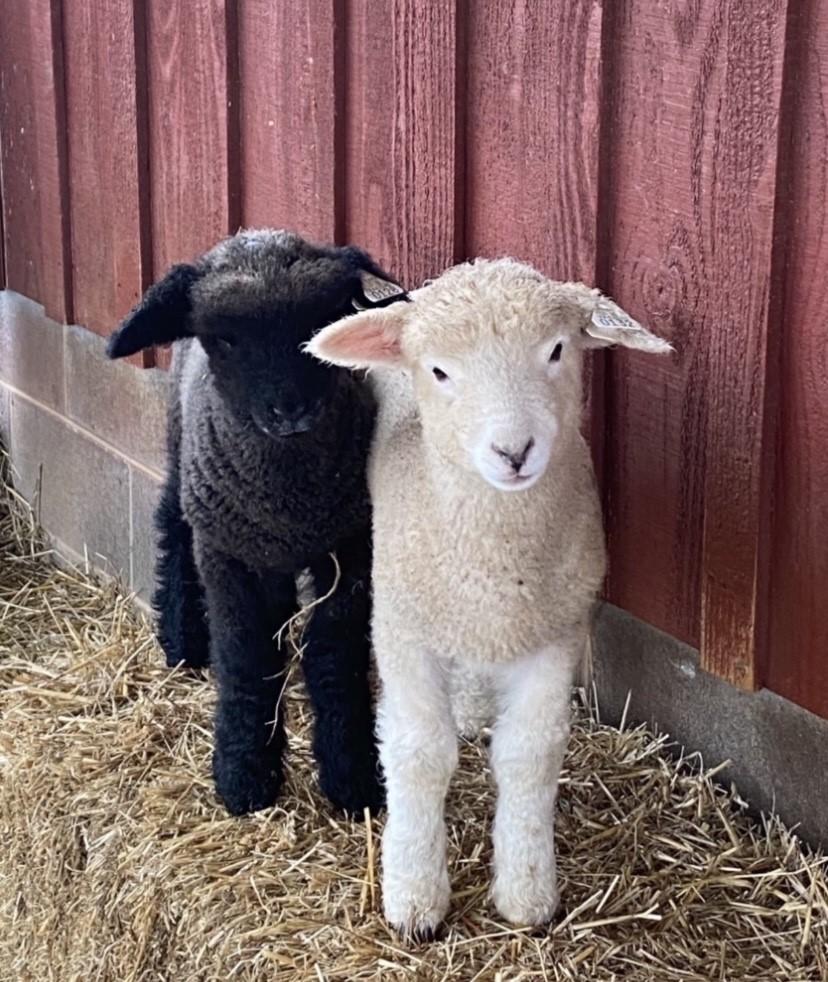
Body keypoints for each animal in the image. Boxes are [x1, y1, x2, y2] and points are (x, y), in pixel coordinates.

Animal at [106, 229, 404, 816]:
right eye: (225, 339)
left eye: (325, 320)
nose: (290, 409)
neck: (286, 499)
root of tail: (252, 233)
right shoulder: (229, 557)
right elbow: (247, 653)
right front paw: (244, 774)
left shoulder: (352, 549)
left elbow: (333, 653)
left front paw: (352, 773)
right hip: (186, 461)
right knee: (172, 528)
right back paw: (181, 644)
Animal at [308, 260, 668, 936]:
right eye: (439, 371)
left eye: (556, 351)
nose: (514, 451)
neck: (495, 563)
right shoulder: (402, 628)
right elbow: (419, 754)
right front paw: (414, 896)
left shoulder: (554, 631)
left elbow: (530, 755)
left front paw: (527, 891)